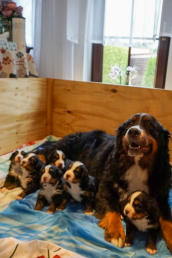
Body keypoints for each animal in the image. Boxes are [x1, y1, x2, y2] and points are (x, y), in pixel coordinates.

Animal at [32, 114, 172, 253]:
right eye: (130, 123)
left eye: (149, 125)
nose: (133, 131)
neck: (136, 166)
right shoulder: (104, 189)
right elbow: (112, 210)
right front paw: (116, 233)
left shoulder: (160, 200)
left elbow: (167, 221)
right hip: (61, 148)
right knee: (44, 149)